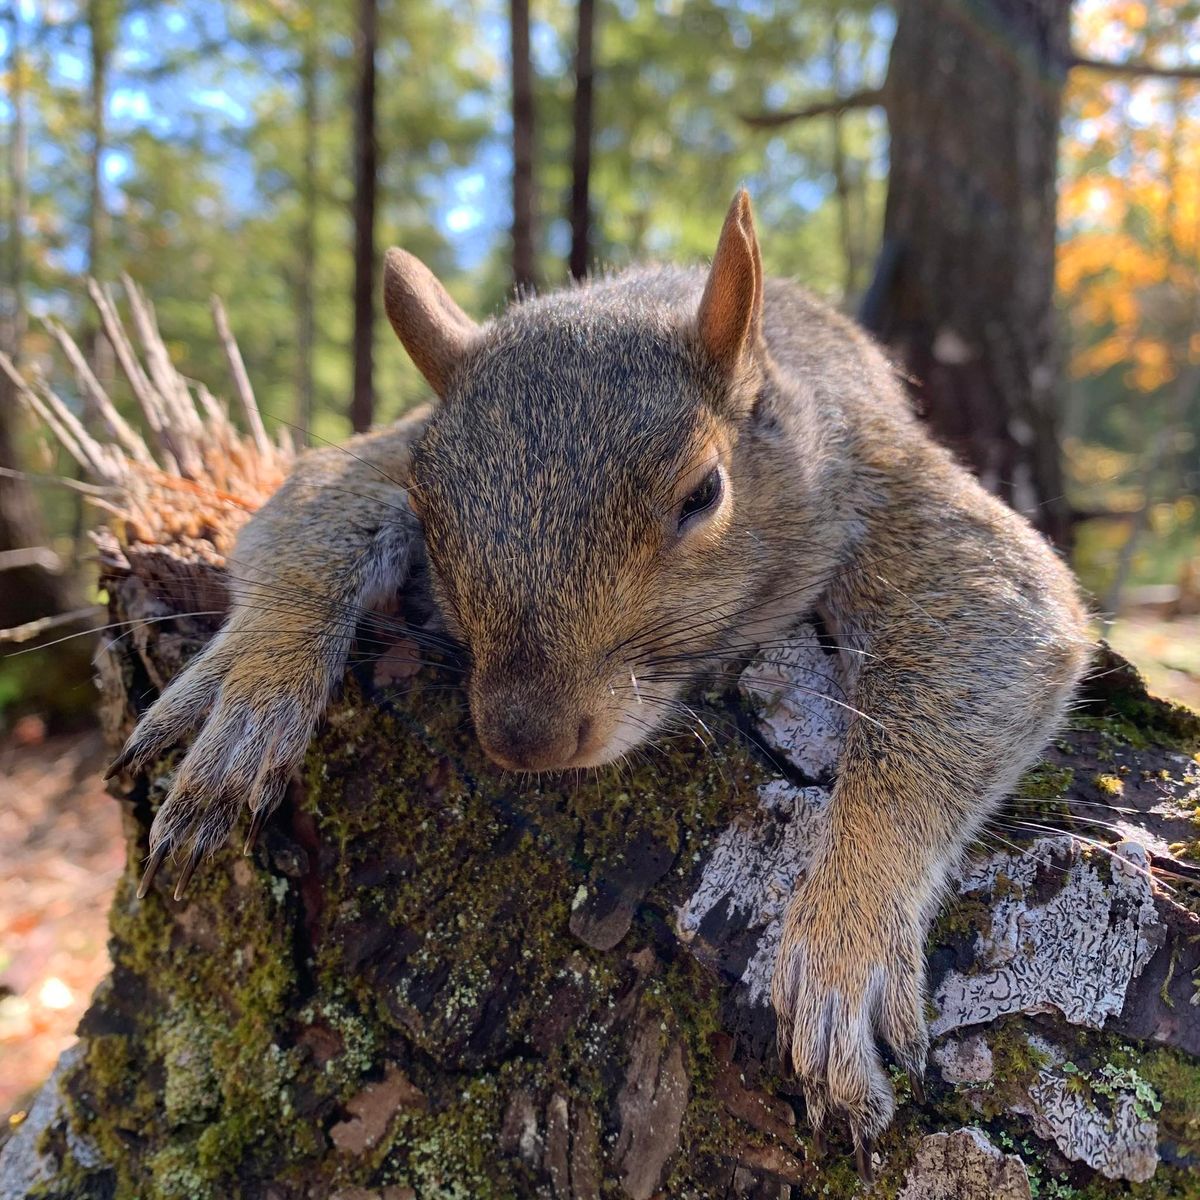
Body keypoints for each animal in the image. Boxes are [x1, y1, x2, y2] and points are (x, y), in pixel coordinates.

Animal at [108, 189, 1094, 1171]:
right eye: (426, 502)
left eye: (703, 494)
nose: (525, 739)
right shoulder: (375, 453)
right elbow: (311, 513)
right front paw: (247, 685)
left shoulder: (884, 478)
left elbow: (990, 621)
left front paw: (844, 944)